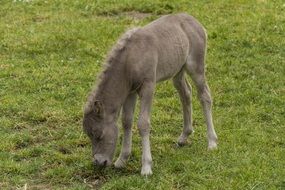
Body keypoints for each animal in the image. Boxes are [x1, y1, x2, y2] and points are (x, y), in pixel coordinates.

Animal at [82, 13, 217, 176]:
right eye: (89, 135)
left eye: (98, 134)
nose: (99, 162)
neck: (129, 60)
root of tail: (195, 21)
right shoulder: (130, 92)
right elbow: (126, 121)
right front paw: (122, 160)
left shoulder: (148, 87)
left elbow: (143, 123)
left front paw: (146, 167)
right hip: (178, 71)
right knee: (186, 93)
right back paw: (184, 136)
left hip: (195, 67)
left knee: (205, 96)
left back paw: (212, 142)